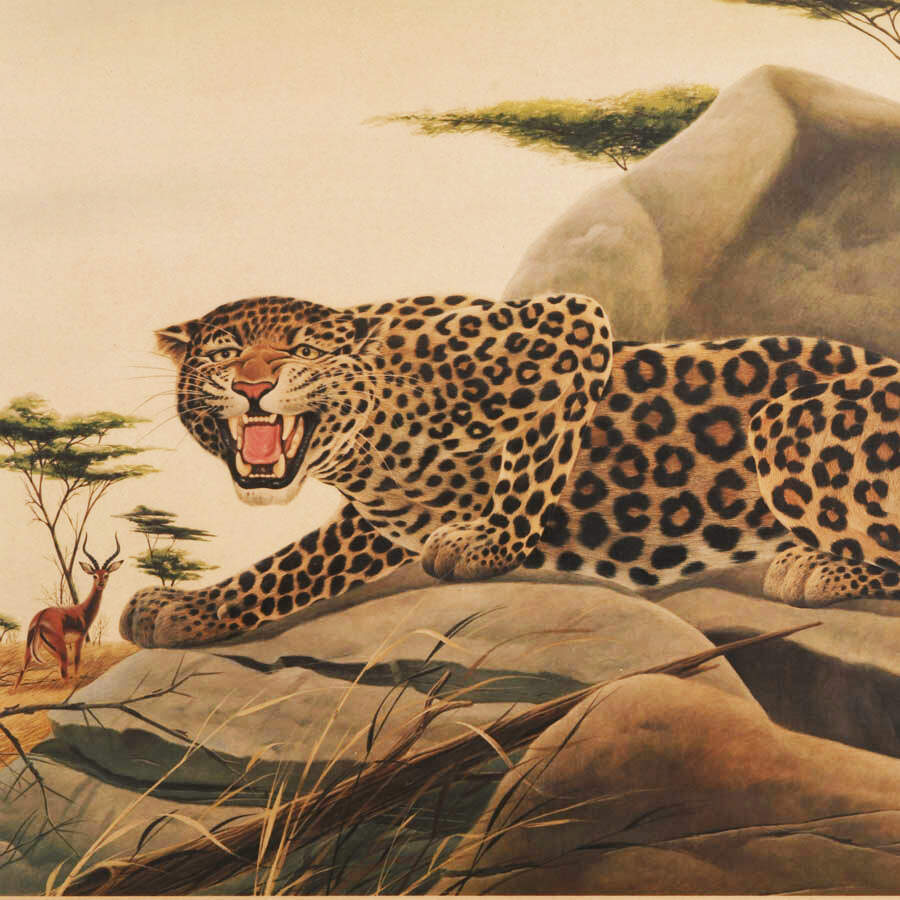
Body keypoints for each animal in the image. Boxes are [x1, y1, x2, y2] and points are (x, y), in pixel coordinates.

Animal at [120, 292, 900, 649]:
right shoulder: (379, 518)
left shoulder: (568, 323)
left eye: (303, 352)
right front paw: (191, 608)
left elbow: (537, 452)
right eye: (224, 354)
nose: (252, 386)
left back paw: (817, 567)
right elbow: (292, 566)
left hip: (783, 418)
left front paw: (488, 544)